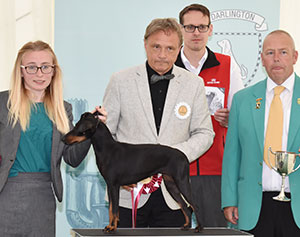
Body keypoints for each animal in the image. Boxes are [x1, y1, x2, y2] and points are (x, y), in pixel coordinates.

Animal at [62, 112, 204, 232]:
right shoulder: (109, 186)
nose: (63, 139)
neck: (107, 149)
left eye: (77, 126)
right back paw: (186, 226)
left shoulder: (114, 185)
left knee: (195, 205)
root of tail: (184, 156)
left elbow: (114, 210)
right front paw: (109, 226)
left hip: (182, 181)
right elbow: (111, 209)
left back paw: (199, 228)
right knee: (184, 206)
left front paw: (112, 228)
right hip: (171, 185)